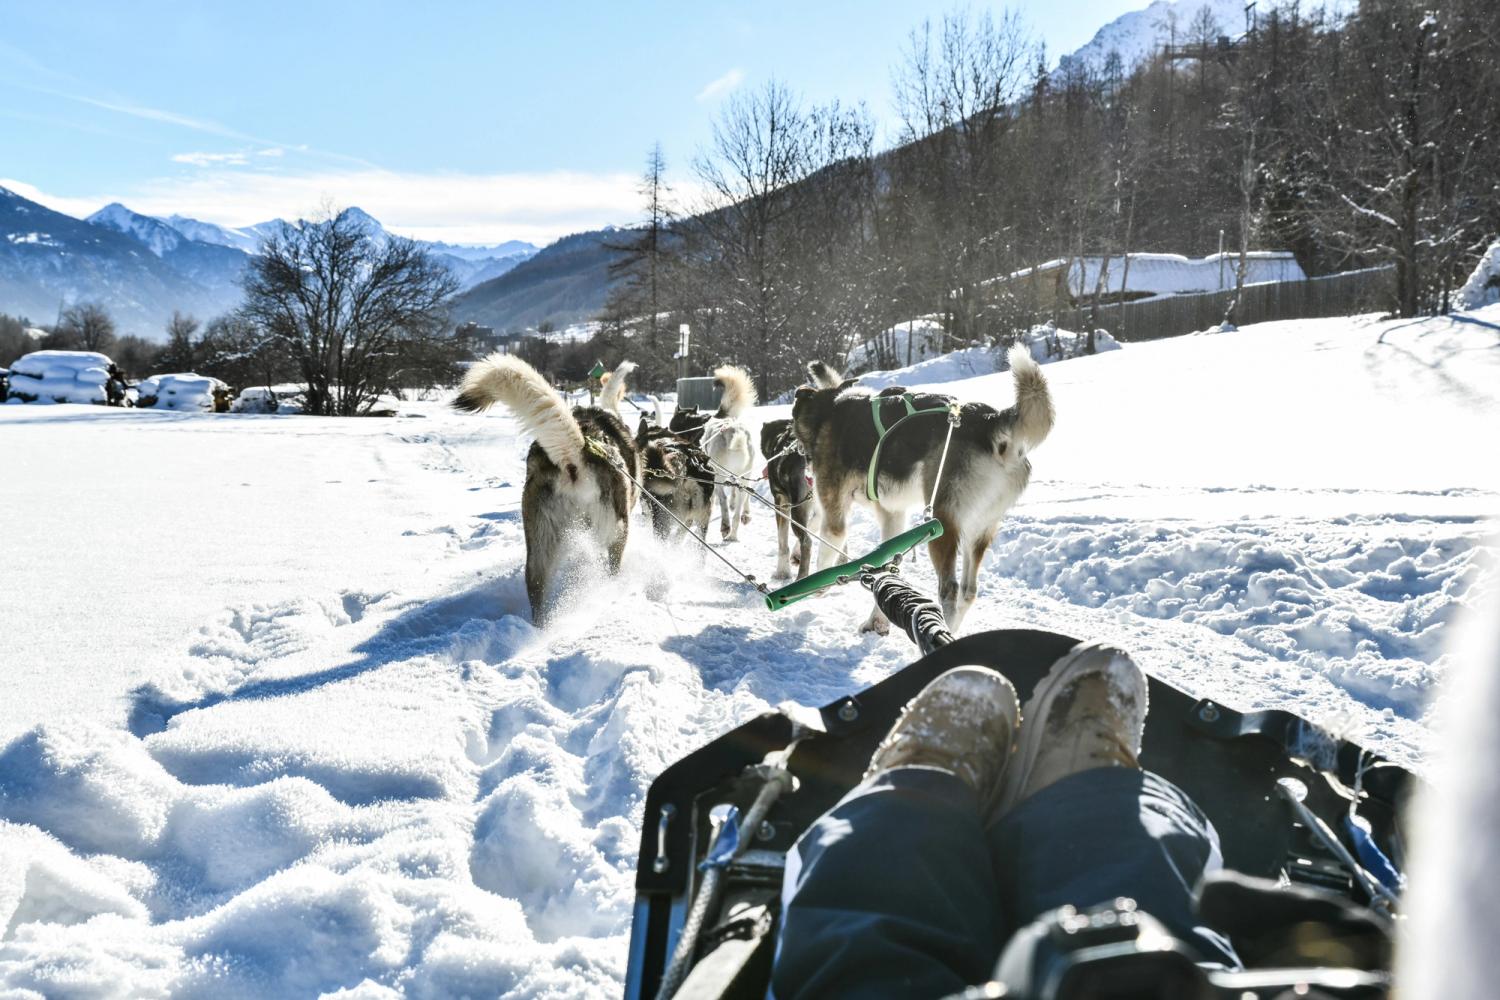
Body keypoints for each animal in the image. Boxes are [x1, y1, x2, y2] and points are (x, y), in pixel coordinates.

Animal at [456, 358, 645, 626]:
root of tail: (576, 454)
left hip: (540, 545)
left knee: (537, 588)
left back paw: (542, 627)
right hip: (615, 533)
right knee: (609, 569)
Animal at [792, 347, 1050, 629]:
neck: (829, 411)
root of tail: (989, 420)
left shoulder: (834, 510)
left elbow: (825, 547)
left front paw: (814, 588)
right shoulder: (893, 515)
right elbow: (885, 566)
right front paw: (877, 621)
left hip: (941, 522)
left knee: (950, 589)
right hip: (979, 528)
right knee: (968, 591)